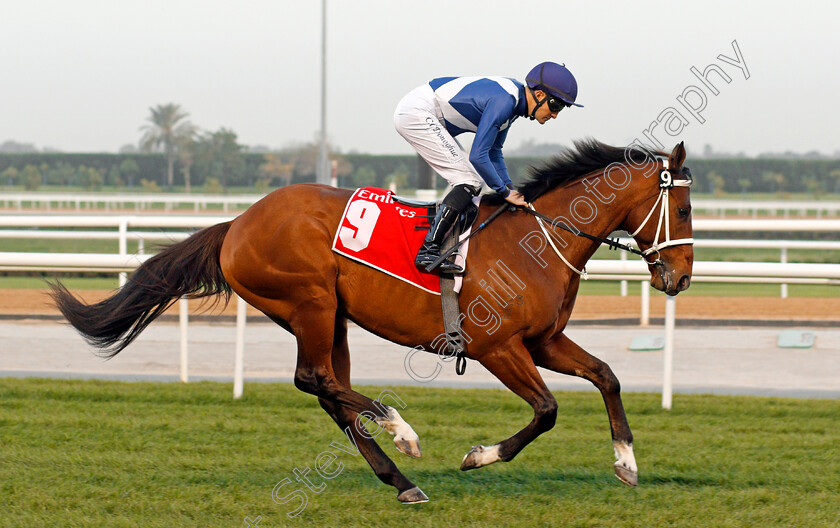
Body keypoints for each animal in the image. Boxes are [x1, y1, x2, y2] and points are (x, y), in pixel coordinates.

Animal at [54, 139, 696, 504]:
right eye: (686, 207)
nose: (682, 278)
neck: (538, 239)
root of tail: (237, 223)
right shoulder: (497, 347)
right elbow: (547, 410)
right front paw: (478, 455)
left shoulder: (543, 340)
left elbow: (607, 375)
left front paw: (627, 464)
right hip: (309, 302)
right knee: (316, 380)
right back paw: (401, 432)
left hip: (329, 315)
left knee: (328, 391)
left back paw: (402, 482)